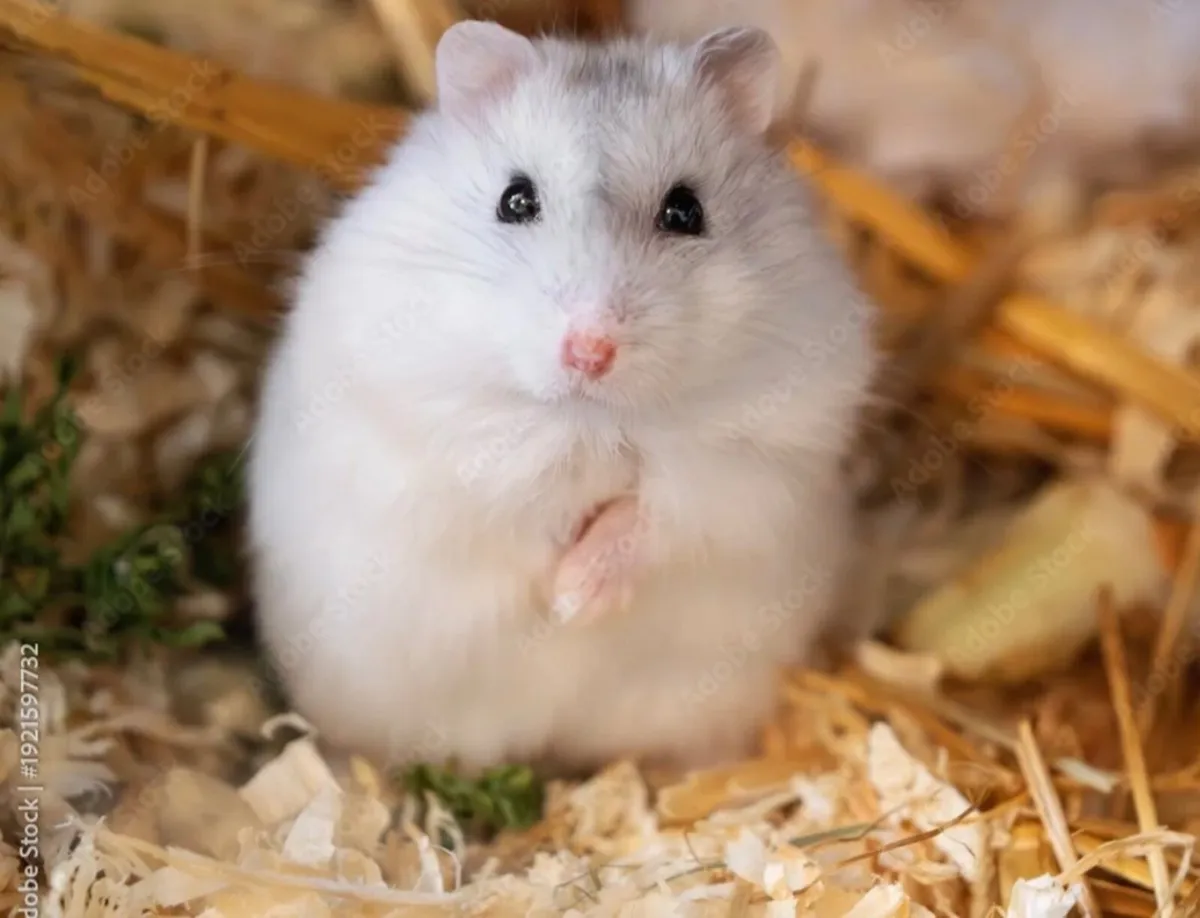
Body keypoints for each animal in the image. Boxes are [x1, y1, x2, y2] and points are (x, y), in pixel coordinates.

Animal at [247, 20, 879, 774]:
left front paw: (577, 598)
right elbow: (521, 487)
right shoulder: (442, 430)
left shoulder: (756, 457)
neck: (592, 415)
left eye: (686, 211)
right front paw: (558, 595)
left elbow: (658, 510)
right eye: (515, 200)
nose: (590, 351)